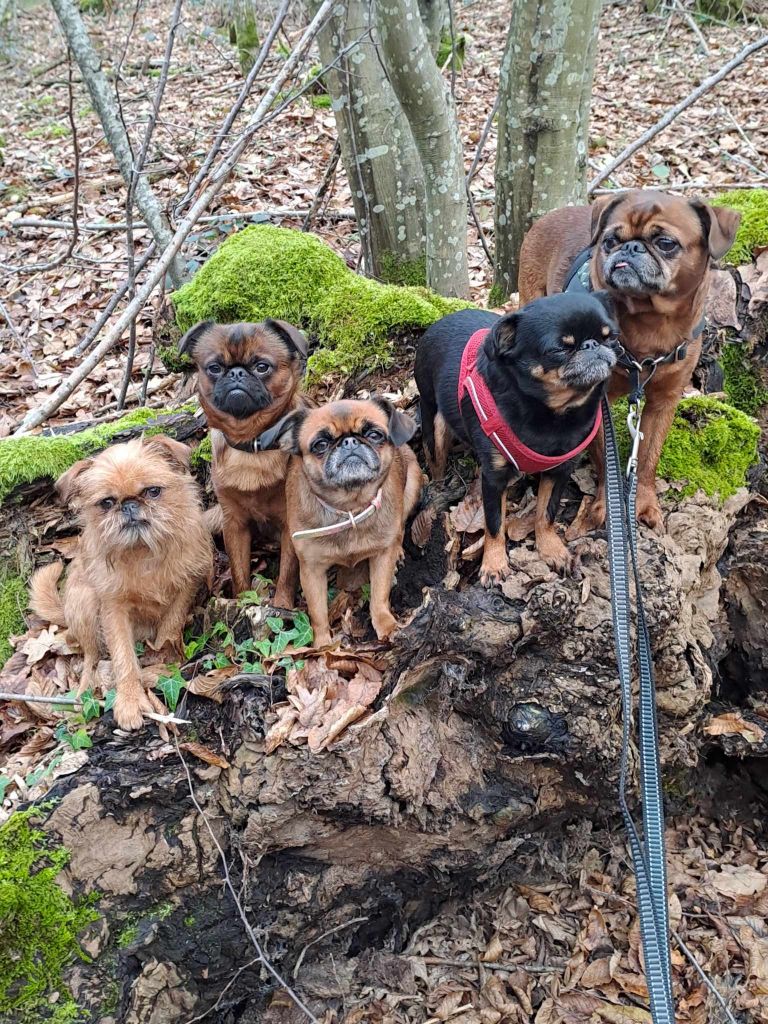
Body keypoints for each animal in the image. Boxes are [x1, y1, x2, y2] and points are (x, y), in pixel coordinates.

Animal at [28, 436, 214, 733]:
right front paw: (129, 701)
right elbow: (122, 655)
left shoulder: (187, 584)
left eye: (152, 491)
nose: (128, 504)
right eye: (107, 502)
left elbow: (170, 624)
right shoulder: (113, 608)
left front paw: (166, 659)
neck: (144, 552)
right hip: (84, 602)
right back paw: (82, 696)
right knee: (91, 657)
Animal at [180, 319, 309, 602]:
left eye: (261, 367)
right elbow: (239, 571)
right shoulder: (234, 524)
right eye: (214, 368)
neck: (251, 445)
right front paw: (242, 600)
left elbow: (287, 573)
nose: (237, 373)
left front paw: (282, 604)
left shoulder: (291, 525)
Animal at [259, 399, 421, 647]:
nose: (349, 441)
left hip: (413, 483)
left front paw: (386, 625)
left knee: (401, 527)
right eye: (320, 444)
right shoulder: (312, 570)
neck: (349, 509)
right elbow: (317, 612)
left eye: (374, 434)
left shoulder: (382, 557)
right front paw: (322, 645)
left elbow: (379, 595)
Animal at [415, 294, 618, 585]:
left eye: (611, 337)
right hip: (434, 421)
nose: (592, 344)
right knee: (436, 459)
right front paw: (494, 564)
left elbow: (546, 513)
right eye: (560, 349)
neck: (553, 414)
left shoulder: (560, 470)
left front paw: (551, 548)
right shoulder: (494, 478)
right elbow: (494, 523)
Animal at [518, 189, 741, 536]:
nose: (630, 247)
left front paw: (644, 502)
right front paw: (604, 506)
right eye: (610, 241)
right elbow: (604, 461)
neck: (650, 323)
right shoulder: (599, 403)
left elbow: (648, 457)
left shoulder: (663, 403)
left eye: (666, 243)